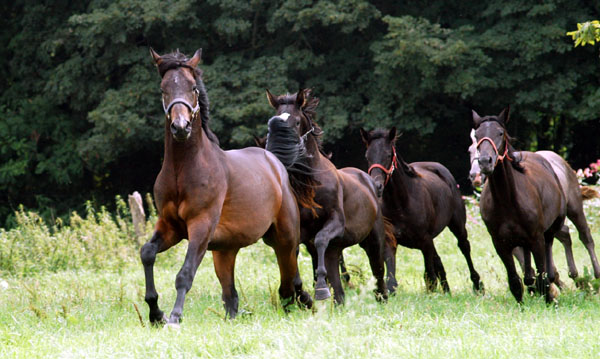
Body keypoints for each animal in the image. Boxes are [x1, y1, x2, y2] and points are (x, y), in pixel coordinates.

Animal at [139, 47, 312, 326]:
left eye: (193, 88)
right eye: (163, 88)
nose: (180, 127)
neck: (182, 170)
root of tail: (275, 163)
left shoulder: (201, 225)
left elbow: (185, 273)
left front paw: (174, 317)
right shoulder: (170, 227)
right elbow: (147, 253)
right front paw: (155, 312)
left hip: (284, 239)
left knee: (290, 279)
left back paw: (304, 301)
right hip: (224, 251)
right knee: (231, 296)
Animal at [264, 89, 386, 304]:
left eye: (297, 122)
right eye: (273, 120)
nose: (279, 155)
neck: (311, 184)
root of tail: (371, 183)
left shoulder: (336, 221)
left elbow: (320, 239)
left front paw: (320, 288)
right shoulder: (300, 230)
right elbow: (293, 251)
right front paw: (299, 292)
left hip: (374, 240)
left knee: (378, 270)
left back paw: (383, 296)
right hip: (336, 250)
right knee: (338, 286)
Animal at [360, 126, 482, 292]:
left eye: (388, 154)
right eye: (367, 156)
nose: (377, 186)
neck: (400, 204)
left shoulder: (425, 241)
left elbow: (430, 278)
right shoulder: (390, 241)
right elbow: (392, 281)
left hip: (456, 225)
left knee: (464, 247)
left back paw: (478, 285)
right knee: (439, 262)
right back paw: (448, 291)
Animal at [468, 125, 600, 288]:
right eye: (469, 151)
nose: (476, 175)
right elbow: (525, 263)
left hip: (574, 208)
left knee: (585, 236)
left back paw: (595, 275)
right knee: (565, 233)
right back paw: (574, 276)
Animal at [474, 107, 568, 304]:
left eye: (500, 133)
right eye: (477, 135)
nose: (485, 161)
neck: (507, 201)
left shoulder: (537, 239)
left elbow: (542, 277)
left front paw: (550, 300)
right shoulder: (500, 244)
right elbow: (515, 281)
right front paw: (522, 304)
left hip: (550, 230)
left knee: (548, 253)